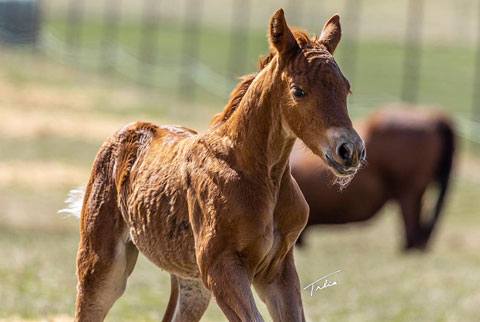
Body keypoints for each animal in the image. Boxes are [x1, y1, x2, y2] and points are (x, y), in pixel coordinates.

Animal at [67, 10, 366, 322]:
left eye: (346, 89)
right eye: (298, 91)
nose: (350, 150)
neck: (261, 176)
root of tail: (131, 130)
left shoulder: (278, 270)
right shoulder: (220, 268)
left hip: (192, 283)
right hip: (102, 268)